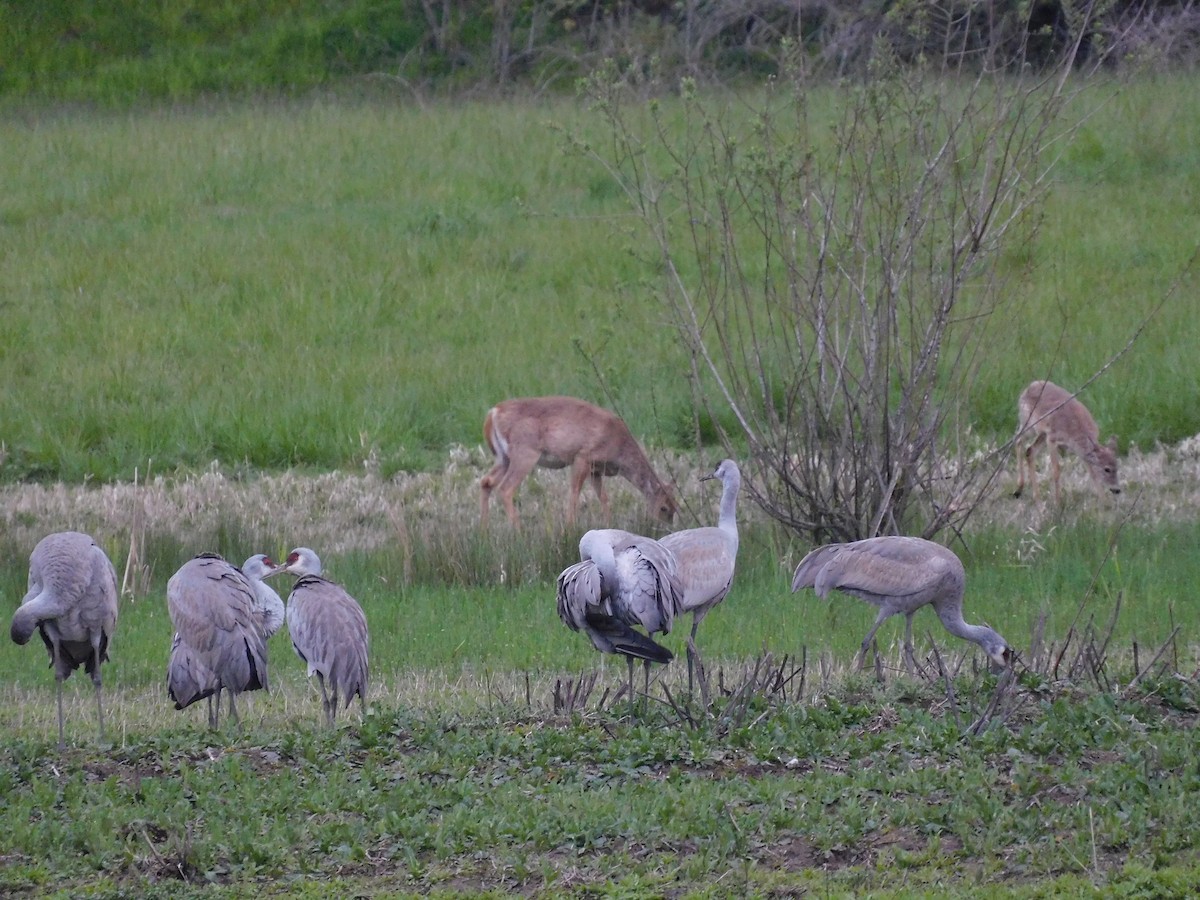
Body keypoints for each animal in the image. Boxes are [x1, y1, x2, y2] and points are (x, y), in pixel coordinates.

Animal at [480, 396, 686, 528]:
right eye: (664, 507)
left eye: (676, 506)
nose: (666, 528)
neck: (619, 447)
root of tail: (493, 413)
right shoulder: (582, 457)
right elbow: (574, 493)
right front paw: (570, 529)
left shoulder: (596, 469)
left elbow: (604, 498)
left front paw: (608, 525)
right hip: (525, 452)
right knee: (506, 488)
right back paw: (518, 531)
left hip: (503, 457)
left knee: (486, 482)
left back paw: (484, 532)